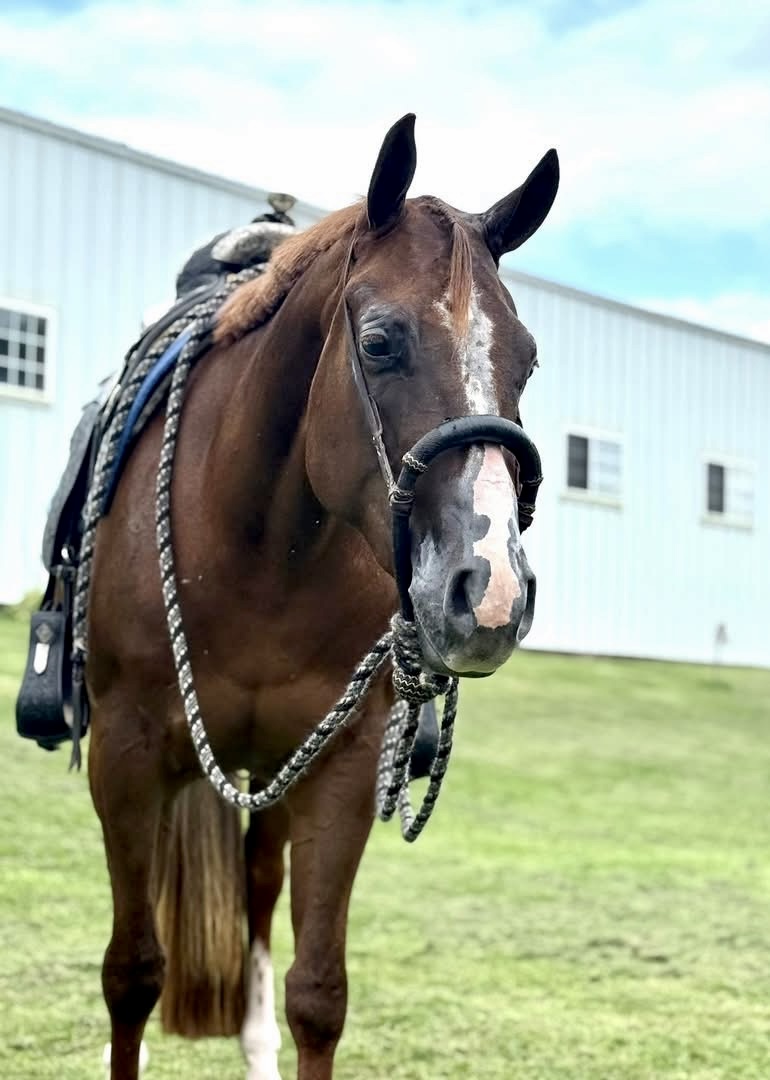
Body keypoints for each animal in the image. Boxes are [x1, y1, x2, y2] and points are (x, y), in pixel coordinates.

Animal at [87, 113, 559, 1080]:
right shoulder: (123, 756)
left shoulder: (338, 768)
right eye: (378, 342)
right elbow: (132, 973)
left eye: (528, 360)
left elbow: (318, 994)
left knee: (259, 886)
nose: (490, 590)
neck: (256, 549)